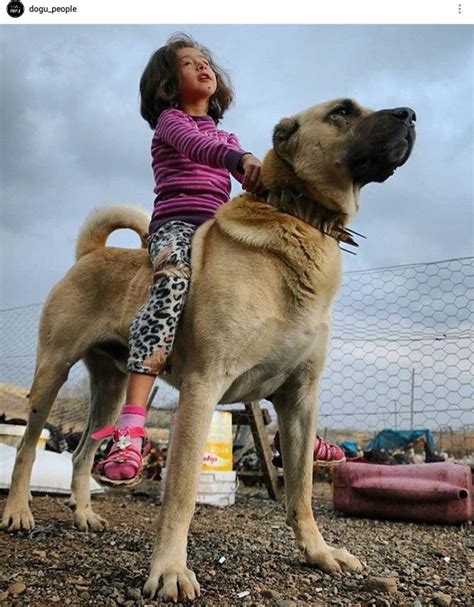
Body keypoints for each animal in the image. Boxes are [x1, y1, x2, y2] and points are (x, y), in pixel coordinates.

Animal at [2, 97, 414, 600]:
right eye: (342, 111)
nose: (411, 115)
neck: (297, 218)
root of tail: (90, 253)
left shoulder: (299, 400)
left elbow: (300, 490)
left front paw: (318, 553)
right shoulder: (203, 388)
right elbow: (180, 493)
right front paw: (169, 570)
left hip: (112, 388)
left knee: (82, 453)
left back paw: (83, 514)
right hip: (52, 373)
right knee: (26, 448)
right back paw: (18, 512)